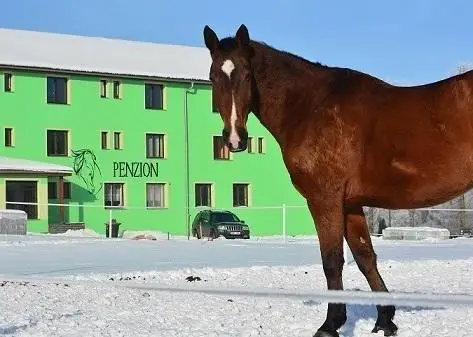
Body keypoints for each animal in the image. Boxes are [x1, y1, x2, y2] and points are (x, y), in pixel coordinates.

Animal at [202, 24, 472, 336]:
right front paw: (385, 319)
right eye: (213, 77)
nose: (235, 138)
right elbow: (365, 257)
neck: (311, 106)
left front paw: (331, 323)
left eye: (247, 74)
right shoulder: (351, 204)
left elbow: (332, 260)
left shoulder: (324, 199)